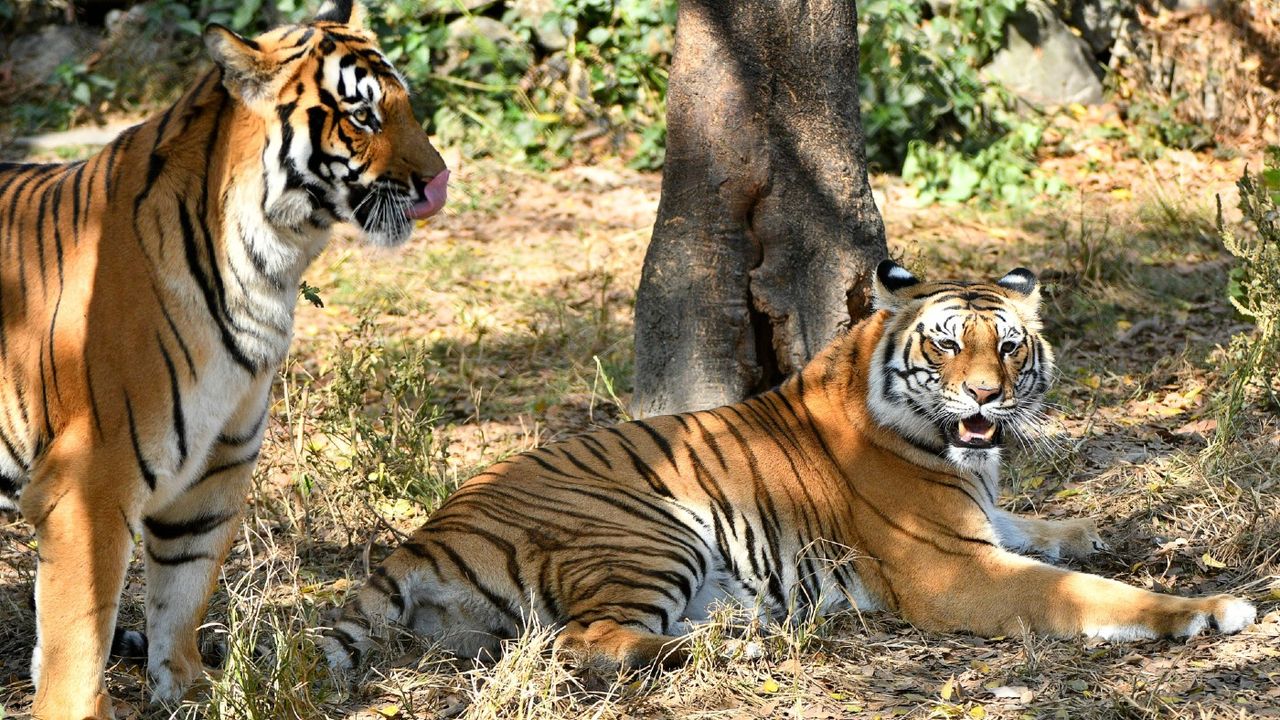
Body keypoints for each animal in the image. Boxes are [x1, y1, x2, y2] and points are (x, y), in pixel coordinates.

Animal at [0, 2, 450, 712]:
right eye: (362, 116)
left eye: (406, 106)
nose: (439, 180)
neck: (271, 263)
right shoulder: (85, 482)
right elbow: (79, 633)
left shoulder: (215, 465)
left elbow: (182, 591)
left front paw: (186, 690)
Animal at [317, 260, 1249, 671]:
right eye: (948, 345)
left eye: (1010, 346)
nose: (987, 396)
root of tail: (426, 535)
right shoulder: (957, 570)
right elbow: (1089, 593)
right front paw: (1209, 610)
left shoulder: (987, 522)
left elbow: (1052, 529)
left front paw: (1110, 528)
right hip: (651, 529)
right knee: (588, 642)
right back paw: (725, 651)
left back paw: (737, 631)